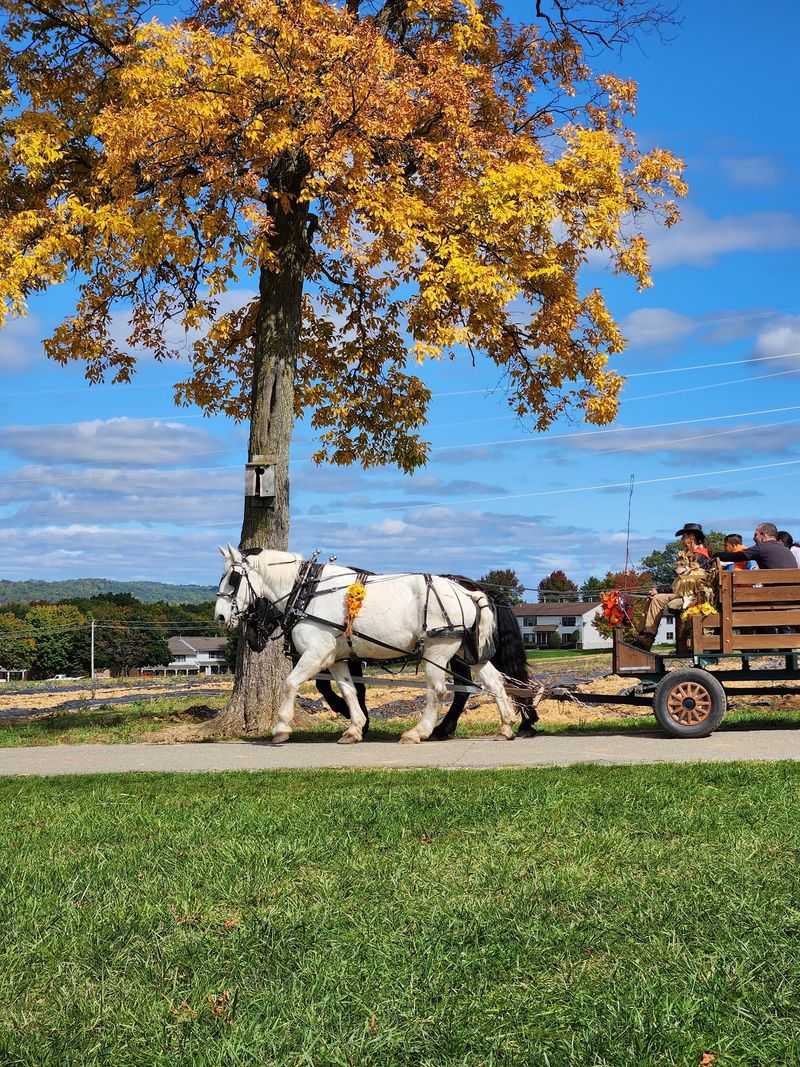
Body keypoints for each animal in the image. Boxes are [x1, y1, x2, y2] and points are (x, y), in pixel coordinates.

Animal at [215, 546, 520, 745]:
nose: (220, 616)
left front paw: (280, 728)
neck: (306, 592)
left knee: (439, 690)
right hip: (468, 652)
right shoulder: (337, 658)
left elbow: (291, 683)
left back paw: (419, 732)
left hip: (438, 650)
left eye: (234, 578)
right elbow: (349, 691)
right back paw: (506, 726)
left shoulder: (316, 654)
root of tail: (468, 593)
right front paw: (355, 728)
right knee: (494, 682)